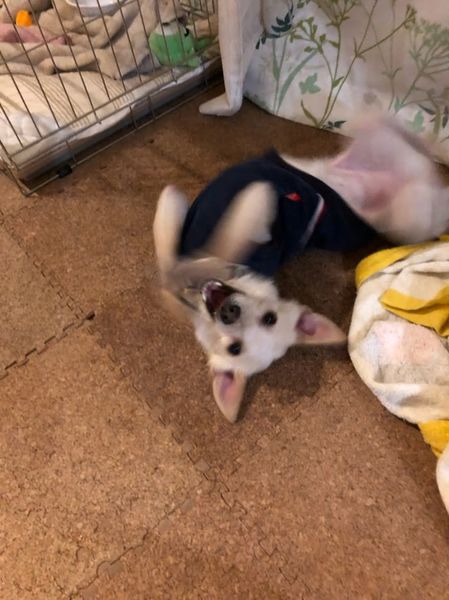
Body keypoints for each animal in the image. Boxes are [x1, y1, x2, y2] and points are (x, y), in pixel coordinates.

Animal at [153, 116, 449, 423]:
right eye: (234, 348)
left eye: (269, 319)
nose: (228, 311)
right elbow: (170, 258)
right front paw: (173, 214)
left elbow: (226, 237)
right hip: (381, 163)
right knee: (400, 146)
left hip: (409, 218)